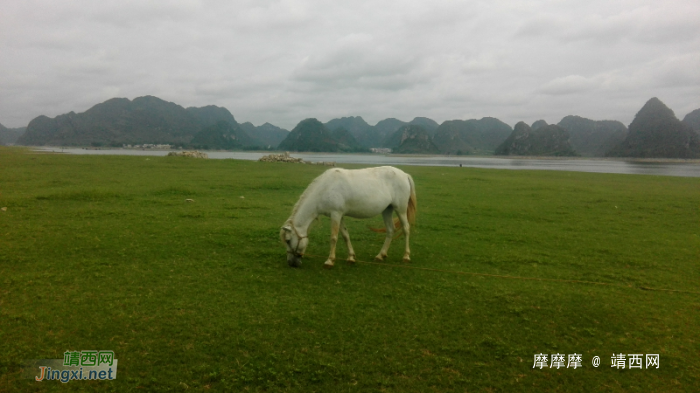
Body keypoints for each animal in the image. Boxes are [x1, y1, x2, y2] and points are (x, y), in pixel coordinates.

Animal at [280, 164, 416, 268]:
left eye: (288, 240)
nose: (291, 263)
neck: (325, 188)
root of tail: (404, 175)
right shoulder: (340, 215)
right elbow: (345, 235)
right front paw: (351, 257)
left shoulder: (335, 214)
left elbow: (334, 237)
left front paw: (330, 261)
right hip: (387, 210)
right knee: (390, 230)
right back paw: (380, 255)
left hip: (400, 209)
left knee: (406, 229)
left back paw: (406, 256)